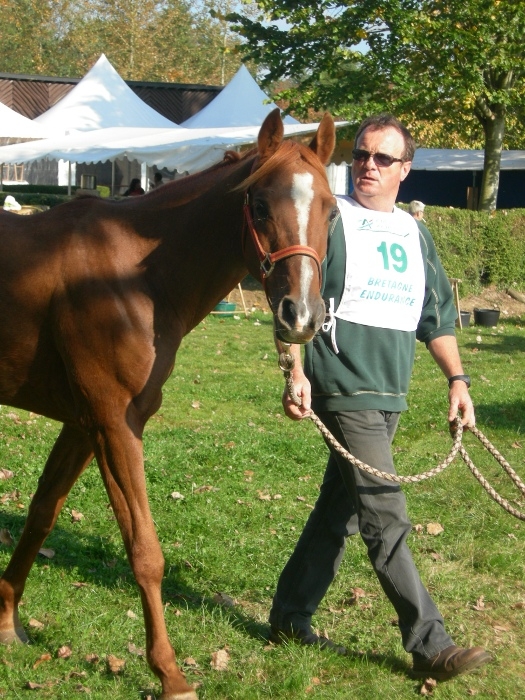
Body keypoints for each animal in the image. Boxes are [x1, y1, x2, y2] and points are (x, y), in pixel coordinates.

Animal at [0, 108, 336, 699]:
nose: (301, 315)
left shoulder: (84, 423)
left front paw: (5, 619)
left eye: (331, 210)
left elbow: (42, 513)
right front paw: (170, 672)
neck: (129, 274)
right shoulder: (114, 424)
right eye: (260, 205)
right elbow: (145, 552)